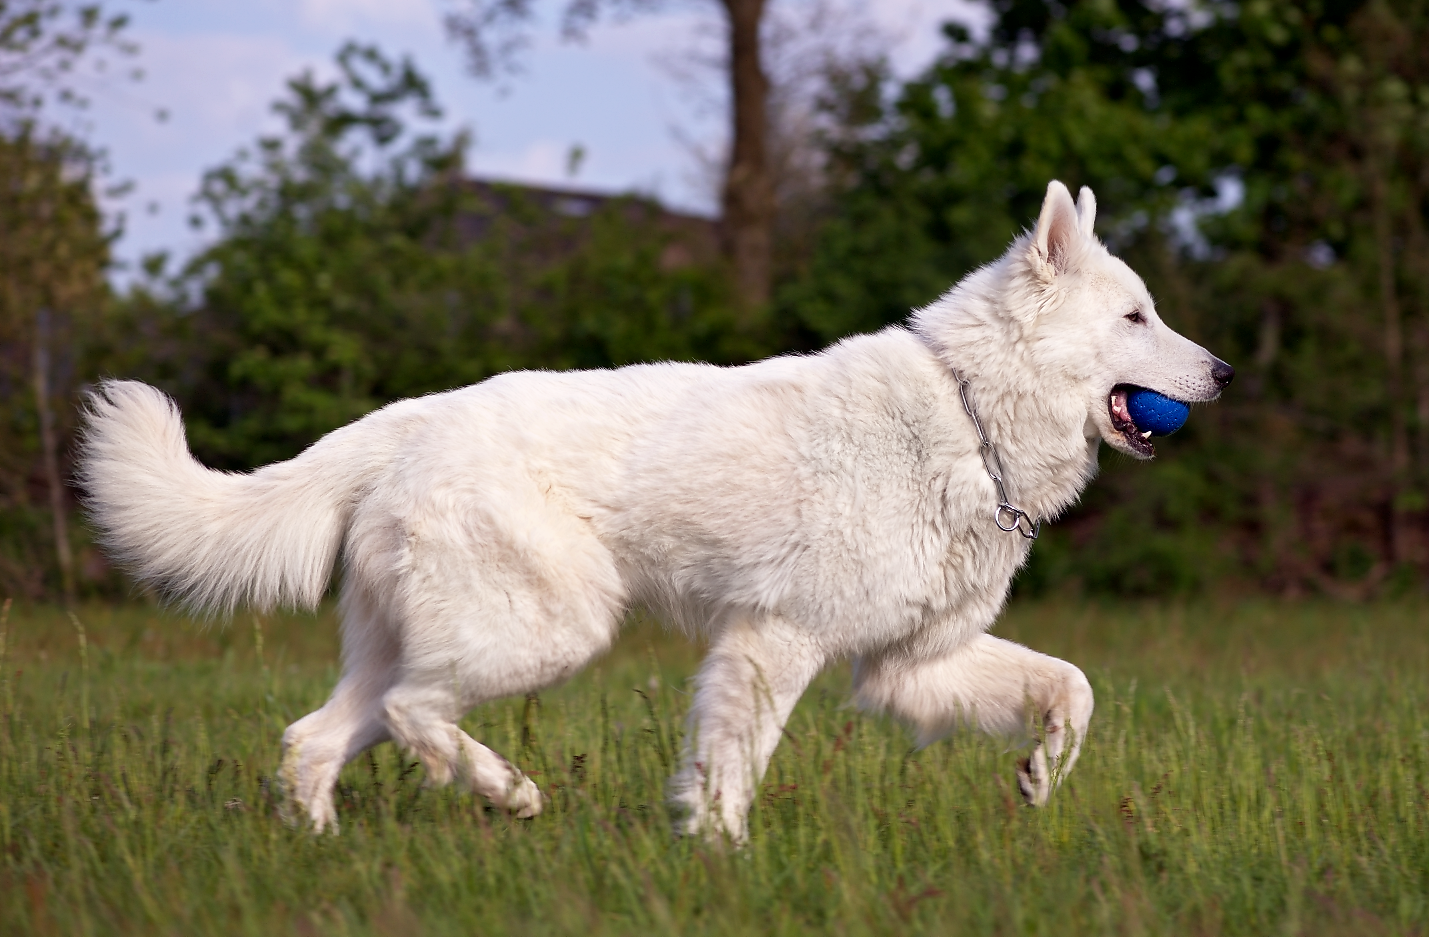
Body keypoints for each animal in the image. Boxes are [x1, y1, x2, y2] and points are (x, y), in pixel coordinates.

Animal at [83, 179, 1228, 839]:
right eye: (1136, 316)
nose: (1220, 371)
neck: (965, 412)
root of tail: (405, 420)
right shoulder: (773, 643)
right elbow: (730, 771)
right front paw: (721, 859)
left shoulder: (911, 665)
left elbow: (1071, 686)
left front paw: (1040, 775)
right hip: (549, 629)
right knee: (414, 713)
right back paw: (505, 790)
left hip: (422, 642)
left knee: (315, 738)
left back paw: (329, 851)